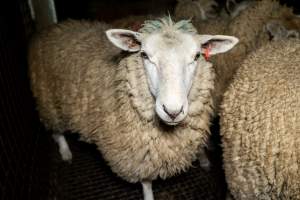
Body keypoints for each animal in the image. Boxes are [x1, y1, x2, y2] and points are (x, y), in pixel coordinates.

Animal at [28, 17, 239, 200]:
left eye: (196, 56)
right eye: (144, 55)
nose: (172, 111)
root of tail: (55, 26)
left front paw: (203, 158)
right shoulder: (138, 153)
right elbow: (146, 182)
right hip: (47, 98)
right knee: (56, 130)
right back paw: (65, 152)